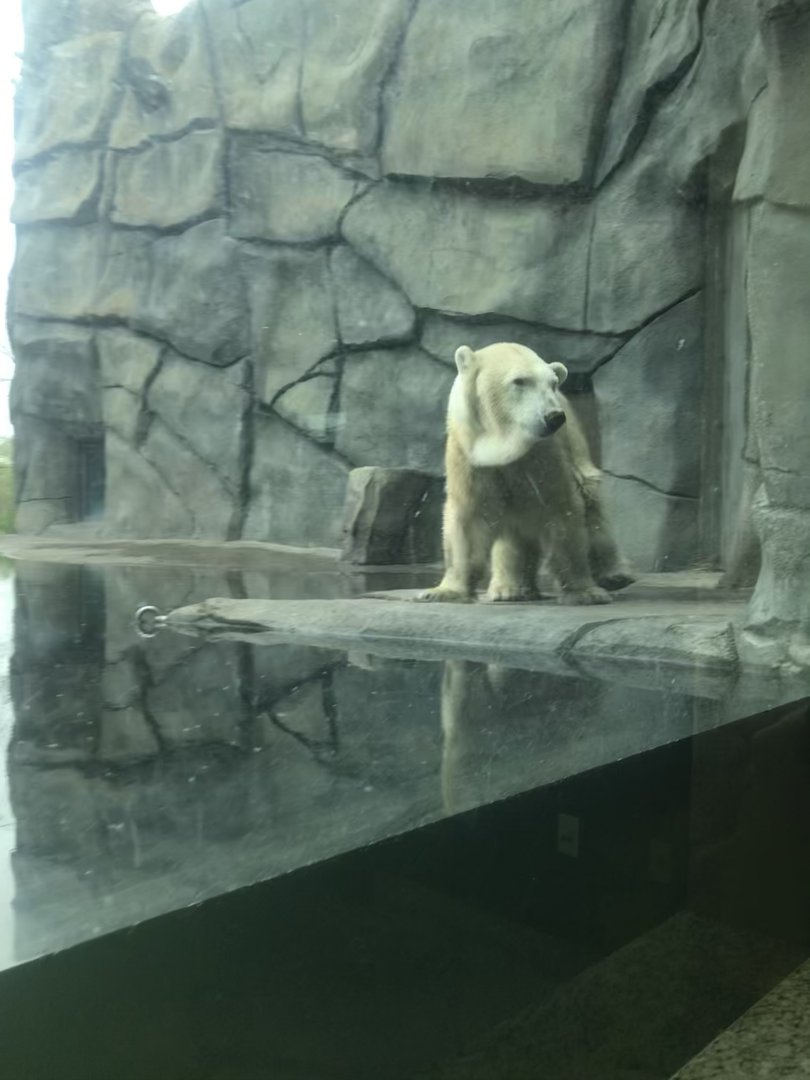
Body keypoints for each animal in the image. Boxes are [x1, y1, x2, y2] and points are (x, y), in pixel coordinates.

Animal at [418, 342, 634, 605]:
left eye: (552, 383)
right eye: (520, 381)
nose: (554, 416)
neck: (504, 446)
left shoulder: (545, 455)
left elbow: (562, 508)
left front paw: (585, 592)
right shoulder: (469, 455)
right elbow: (468, 517)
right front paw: (442, 591)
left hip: (576, 446)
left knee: (591, 499)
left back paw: (615, 575)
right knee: (514, 532)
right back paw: (509, 589)